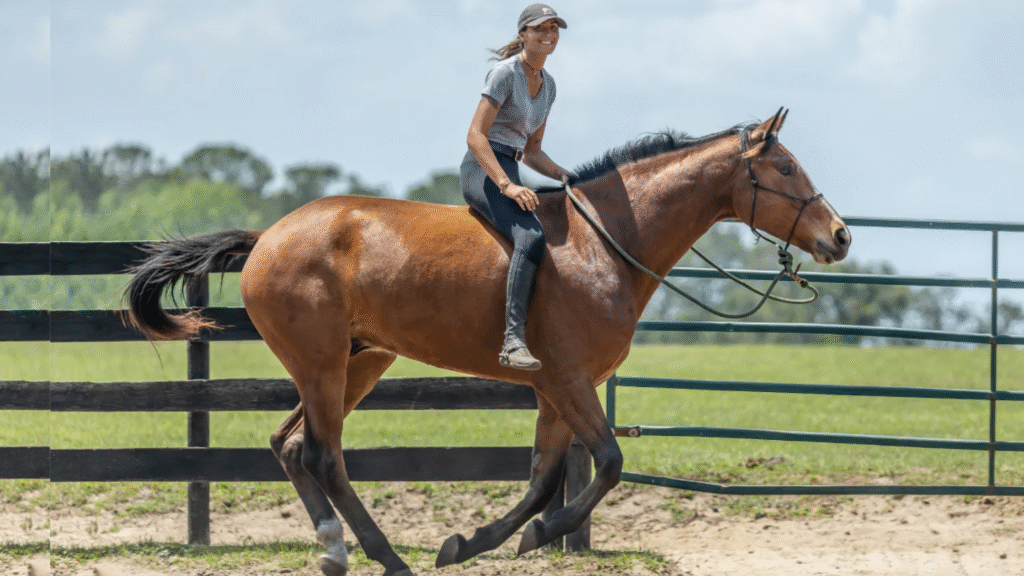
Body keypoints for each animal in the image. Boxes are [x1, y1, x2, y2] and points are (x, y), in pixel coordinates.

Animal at [124, 109, 850, 576]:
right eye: (786, 168)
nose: (840, 236)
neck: (602, 245)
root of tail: (267, 238)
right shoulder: (568, 381)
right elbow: (608, 463)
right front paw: (532, 537)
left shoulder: (556, 393)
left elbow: (542, 479)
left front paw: (479, 542)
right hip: (322, 364)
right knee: (324, 456)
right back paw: (387, 558)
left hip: (359, 362)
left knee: (291, 446)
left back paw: (335, 550)